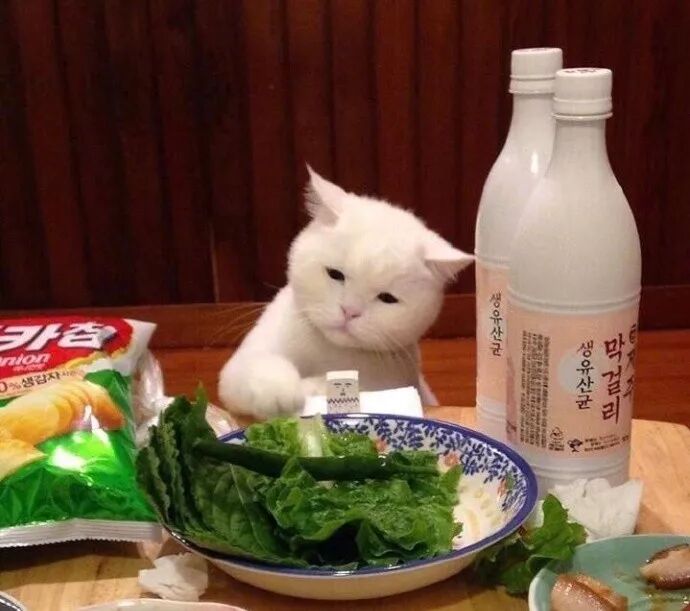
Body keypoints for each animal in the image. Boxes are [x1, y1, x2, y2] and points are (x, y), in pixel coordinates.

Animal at [218, 167, 474, 418]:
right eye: (335, 274)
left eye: (387, 298)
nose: (349, 311)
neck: (329, 351)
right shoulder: (243, 363)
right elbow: (256, 367)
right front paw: (283, 392)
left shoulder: (390, 381)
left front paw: (310, 388)